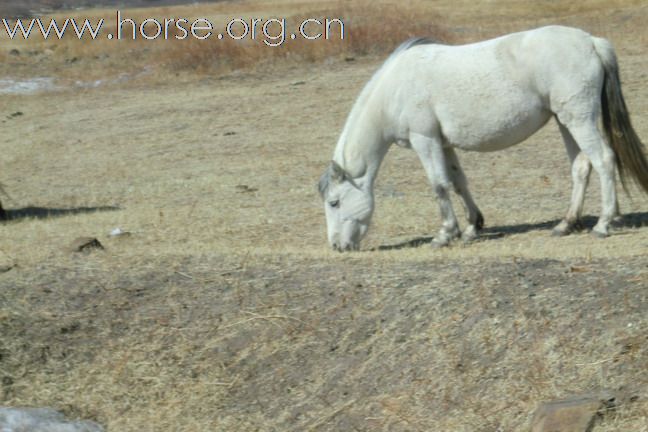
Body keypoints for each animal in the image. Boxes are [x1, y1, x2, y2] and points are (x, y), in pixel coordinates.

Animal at [318, 24, 648, 250]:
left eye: (334, 202)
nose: (337, 246)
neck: (395, 89)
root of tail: (591, 42)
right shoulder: (443, 144)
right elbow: (458, 182)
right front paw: (472, 227)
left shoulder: (425, 140)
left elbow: (439, 186)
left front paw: (444, 234)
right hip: (566, 121)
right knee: (581, 167)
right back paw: (565, 224)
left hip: (579, 120)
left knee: (604, 160)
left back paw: (604, 223)